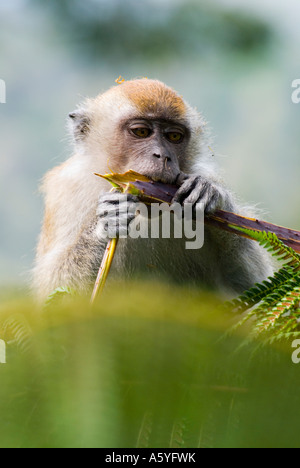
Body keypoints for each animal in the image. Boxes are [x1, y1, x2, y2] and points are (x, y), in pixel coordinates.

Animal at [32, 77, 272, 300]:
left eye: (174, 136)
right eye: (141, 132)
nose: (163, 156)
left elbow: (247, 282)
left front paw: (211, 193)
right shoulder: (66, 191)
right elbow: (55, 295)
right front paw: (107, 220)